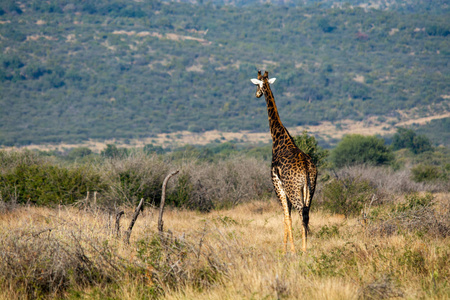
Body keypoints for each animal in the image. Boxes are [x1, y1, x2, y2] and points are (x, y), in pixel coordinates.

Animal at [250, 70, 316, 253]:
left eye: (257, 85)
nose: (257, 94)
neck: (279, 138)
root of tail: (306, 168)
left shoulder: (277, 184)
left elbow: (286, 217)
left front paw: (288, 250)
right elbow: (287, 216)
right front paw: (286, 248)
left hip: (294, 189)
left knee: (301, 213)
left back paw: (302, 250)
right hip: (310, 188)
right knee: (307, 213)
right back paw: (305, 248)